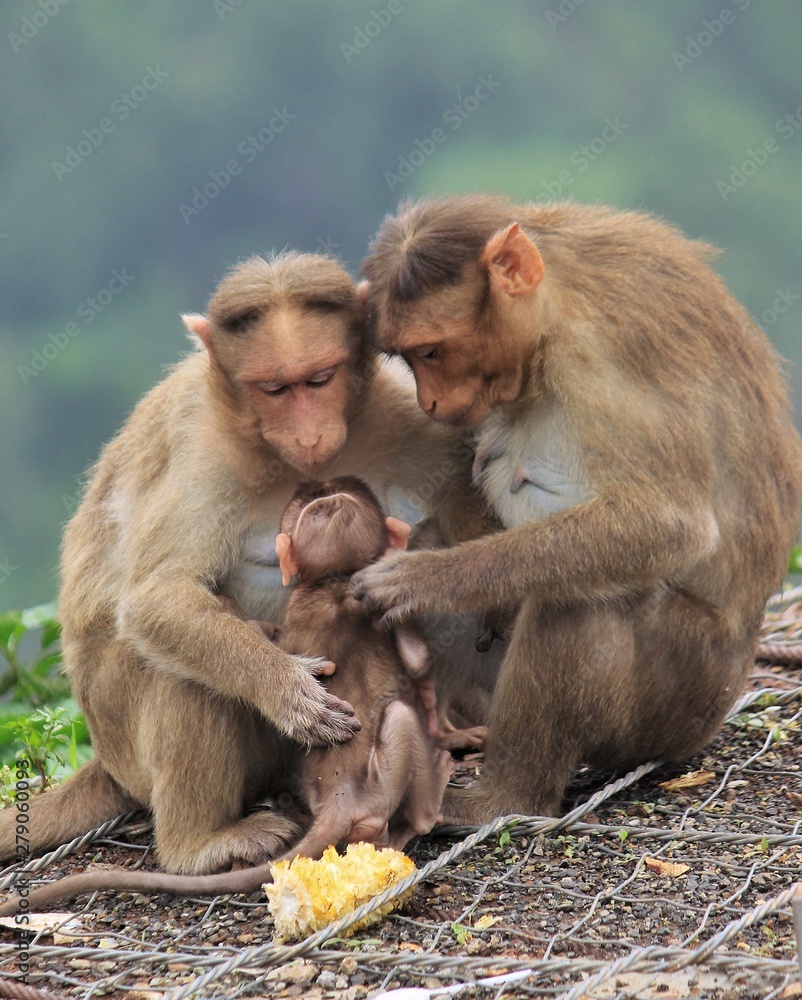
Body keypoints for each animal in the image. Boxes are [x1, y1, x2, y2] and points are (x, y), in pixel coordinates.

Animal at [352, 194, 802, 824]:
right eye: (409, 358)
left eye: (431, 351)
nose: (430, 400)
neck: (555, 306)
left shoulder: (601, 363)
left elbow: (670, 525)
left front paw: (424, 580)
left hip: (678, 698)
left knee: (583, 600)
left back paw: (505, 798)